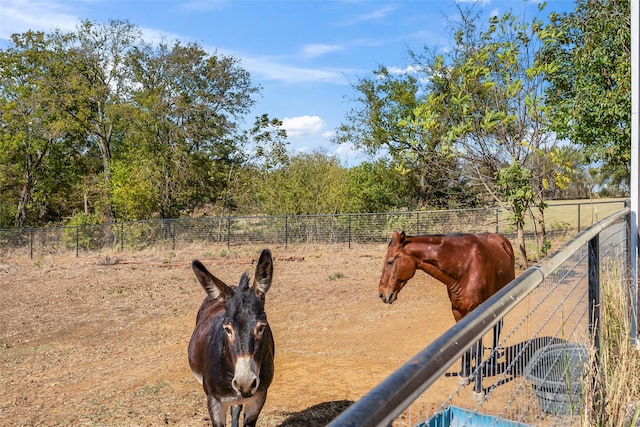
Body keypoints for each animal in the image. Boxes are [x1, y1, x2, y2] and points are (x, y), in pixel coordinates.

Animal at [380, 231, 516, 398]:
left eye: (390, 262)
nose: (382, 294)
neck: (464, 267)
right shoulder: (458, 311)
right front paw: (464, 375)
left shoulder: (477, 310)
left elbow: (478, 349)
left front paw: (478, 389)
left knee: (497, 328)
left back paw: (492, 361)